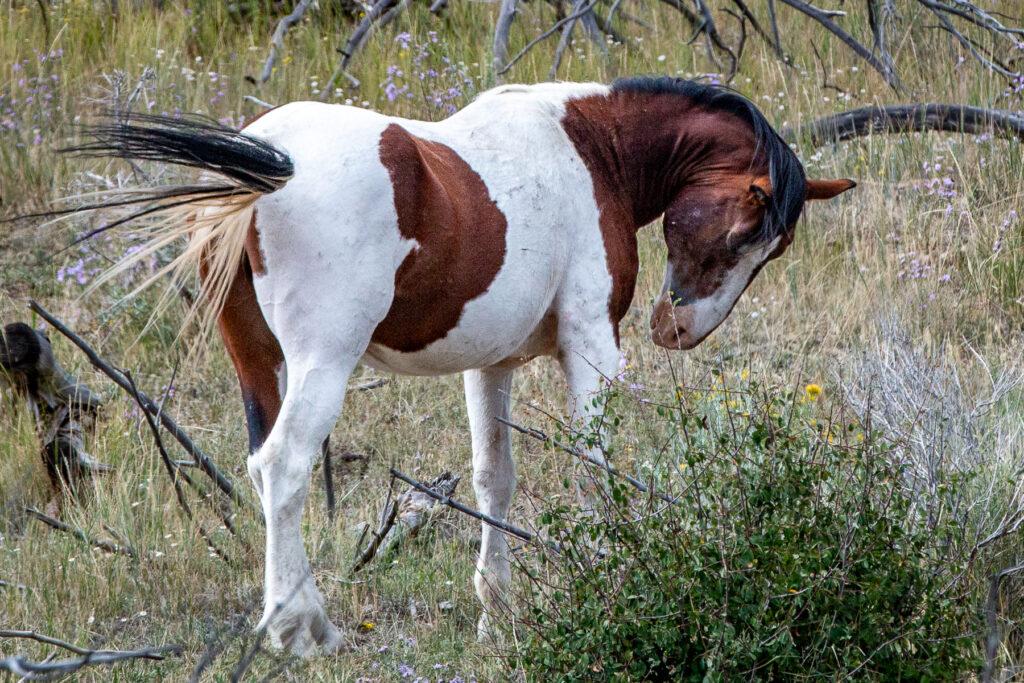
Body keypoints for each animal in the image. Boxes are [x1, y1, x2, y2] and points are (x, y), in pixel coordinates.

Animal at [56, 76, 856, 655]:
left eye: (774, 246)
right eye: (747, 230)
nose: (679, 329)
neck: (591, 147)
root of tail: (269, 160)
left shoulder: (490, 363)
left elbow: (492, 479)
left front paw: (493, 611)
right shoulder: (592, 347)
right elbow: (595, 471)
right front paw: (610, 582)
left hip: (257, 362)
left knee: (260, 465)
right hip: (322, 363)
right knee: (285, 465)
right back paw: (298, 628)